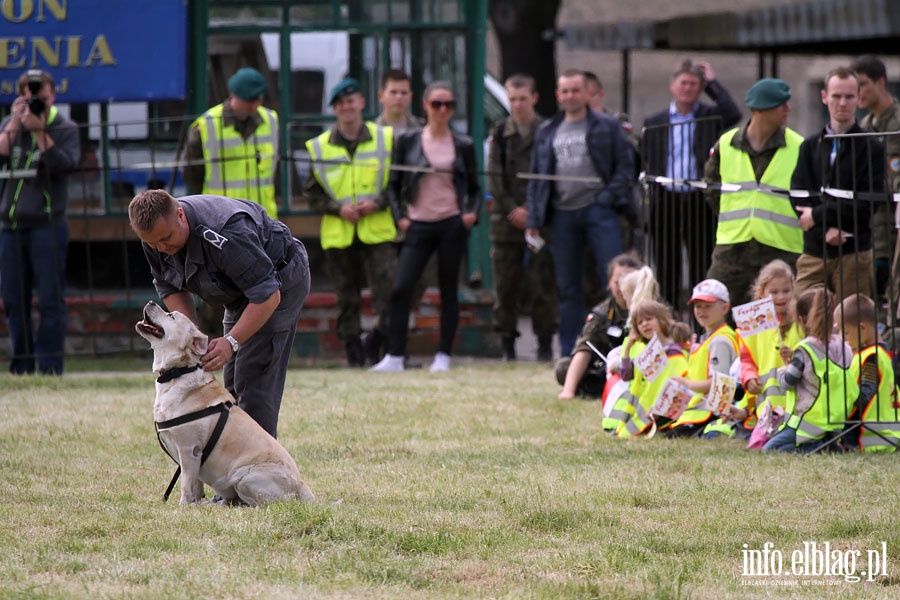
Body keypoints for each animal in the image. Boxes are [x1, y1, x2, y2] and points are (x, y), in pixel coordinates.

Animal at [135, 300, 314, 506]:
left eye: (171, 315)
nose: (150, 302)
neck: (179, 372)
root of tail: (301, 486)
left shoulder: (189, 450)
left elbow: (186, 483)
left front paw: (184, 506)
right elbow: (195, 483)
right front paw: (196, 505)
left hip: (244, 477)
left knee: (261, 503)